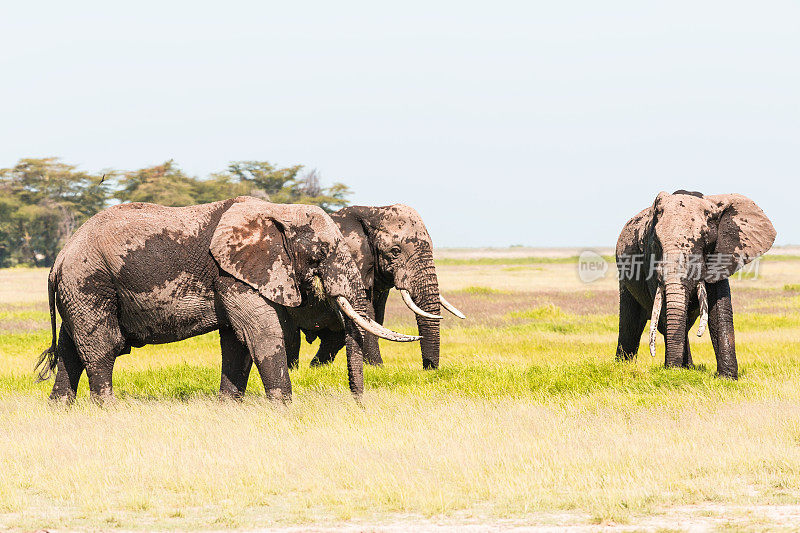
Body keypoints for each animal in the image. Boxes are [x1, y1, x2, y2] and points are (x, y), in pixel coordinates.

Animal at [36, 196, 418, 404]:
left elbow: (237, 340)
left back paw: (59, 409)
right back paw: (110, 409)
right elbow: (260, 334)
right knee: (102, 347)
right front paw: (284, 408)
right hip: (89, 282)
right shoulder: (233, 273)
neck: (276, 212)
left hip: (77, 290)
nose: (359, 404)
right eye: (320, 254)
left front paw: (227, 407)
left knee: (71, 349)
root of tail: (58, 258)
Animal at [612, 189, 776, 376]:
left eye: (705, 240)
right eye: (656, 243)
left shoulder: (720, 257)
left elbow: (720, 310)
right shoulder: (650, 264)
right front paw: (676, 372)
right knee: (630, 323)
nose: (672, 368)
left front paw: (726, 377)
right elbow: (665, 311)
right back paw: (623, 366)